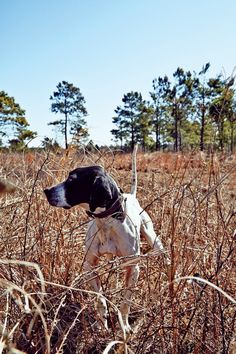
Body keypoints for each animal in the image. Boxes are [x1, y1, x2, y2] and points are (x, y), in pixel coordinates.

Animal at [43, 146, 166, 332]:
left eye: (72, 180)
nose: (47, 191)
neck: (107, 221)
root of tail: (132, 195)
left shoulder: (133, 268)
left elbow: (125, 302)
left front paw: (124, 327)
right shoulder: (89, 266)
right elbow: (99, 298)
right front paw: (102, 323)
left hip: (152, 237)